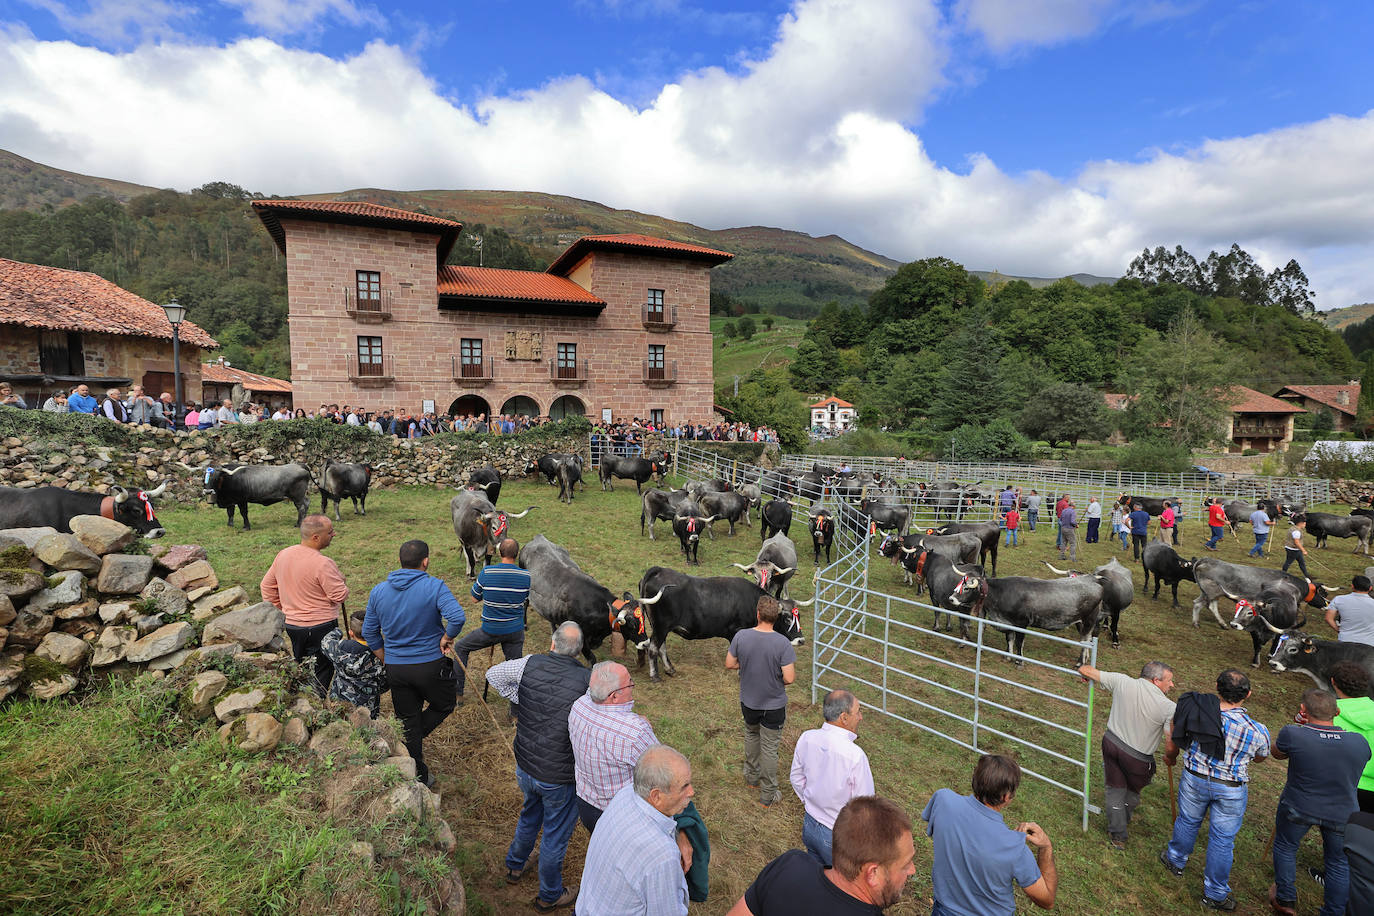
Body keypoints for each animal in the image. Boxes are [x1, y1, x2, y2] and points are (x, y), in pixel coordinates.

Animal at [519, 532, 659, 661]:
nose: (645, 644)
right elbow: (592, 658)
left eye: (643, 621)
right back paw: (525, 625)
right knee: (525, 604)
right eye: (632, 625)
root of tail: (539, 538)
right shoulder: (582, 637)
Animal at [637, 565, 807, 681]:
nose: (801, 640)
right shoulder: (737, 632)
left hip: (660, 627)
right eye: (787, 618)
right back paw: (655, 676)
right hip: (661, 626)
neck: (752, 601)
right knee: (653, 648)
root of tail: (659, 570)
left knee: (661, 647)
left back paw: (670, 669)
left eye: (798, 617)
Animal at [945, 574, 1104, 667]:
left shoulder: (1021, 623)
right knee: (1087, 639)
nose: (951, 598)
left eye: (966, 588)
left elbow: (1019, 642)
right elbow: (1009, 639)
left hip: (1088, 620)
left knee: (1085, 640)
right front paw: (1007, 656)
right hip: (1081, 622)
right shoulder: (1008, 623)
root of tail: (1093, 580)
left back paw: (1080, 662)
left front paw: (1019, 661)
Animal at [1192, 560, 1330, 631]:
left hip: (1207, 592)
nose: (1327, 604)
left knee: (1199, 603)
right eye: (1322, 592)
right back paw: (1213, 624)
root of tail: (1206, 560)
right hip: (1212, 592)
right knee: (1208, 605)